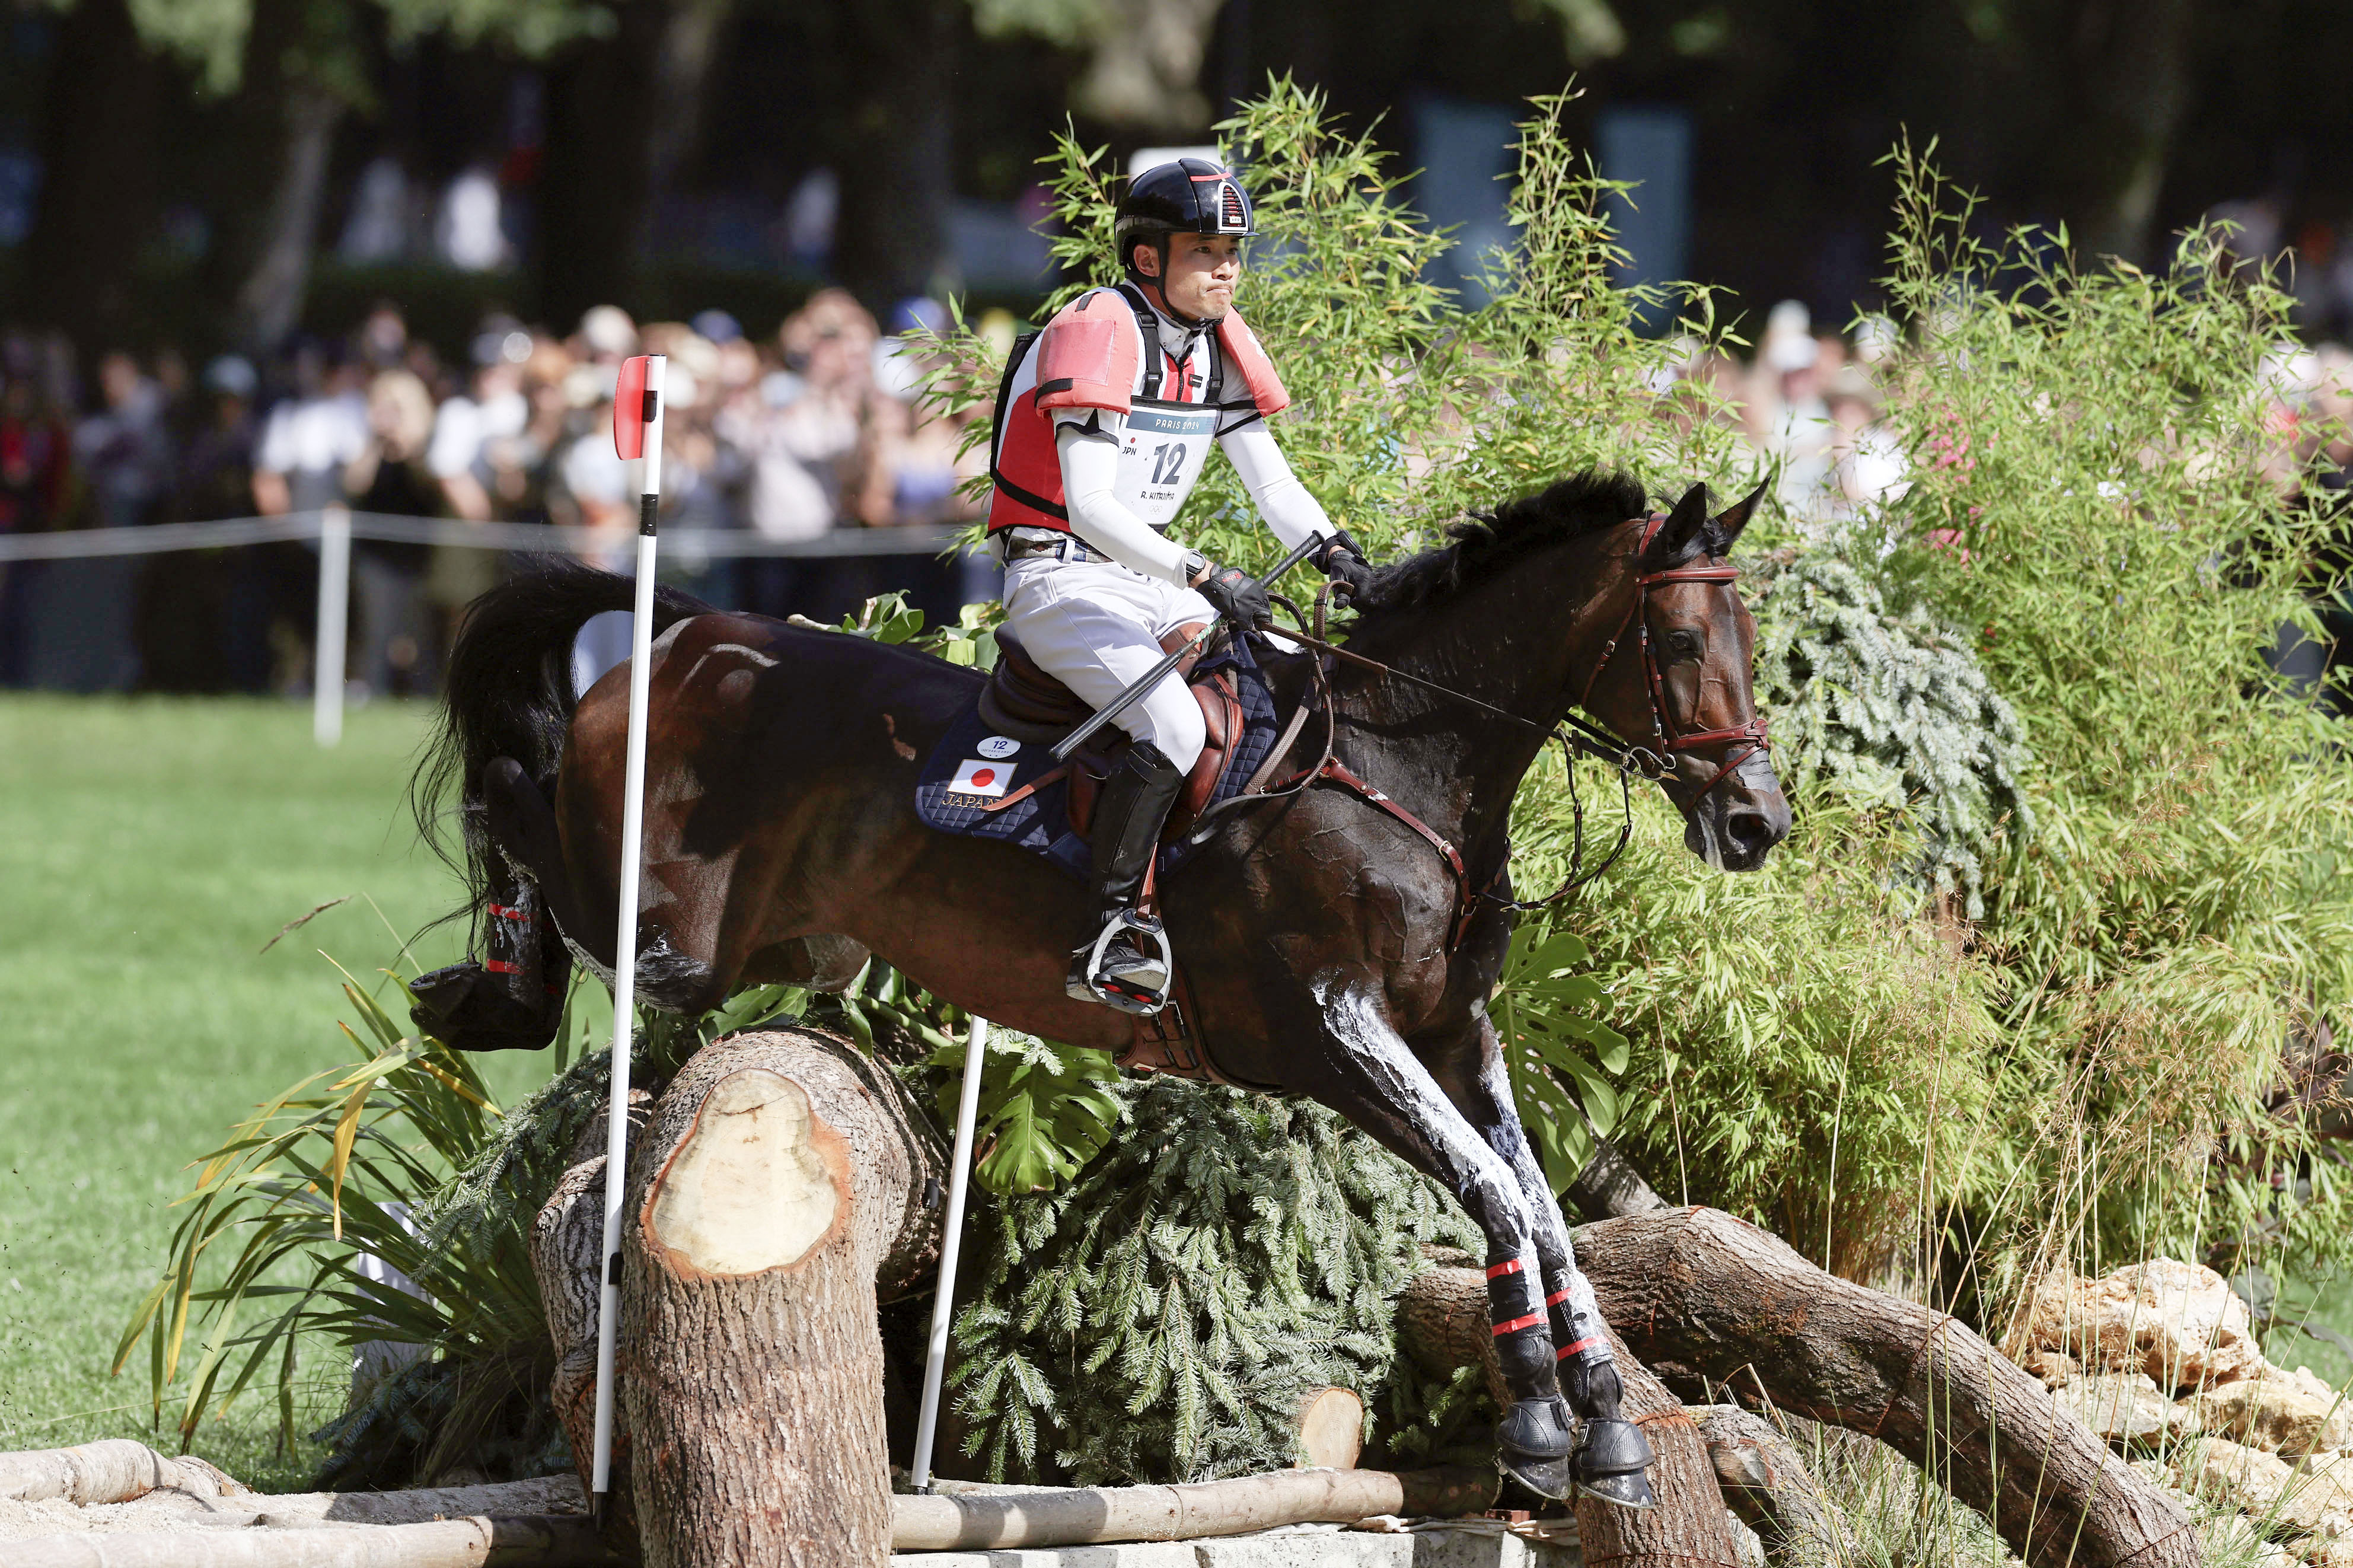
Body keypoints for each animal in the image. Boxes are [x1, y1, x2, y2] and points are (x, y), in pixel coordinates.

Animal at [414, 466, 1788, 1506]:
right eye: (1677, 641)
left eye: (1749, 642)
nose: (1755, 821)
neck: (1403, 764)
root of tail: (695, 633)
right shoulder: (1332, 1033)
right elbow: (1499, 1195)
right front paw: (1544, 1431)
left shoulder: (1457, 1034)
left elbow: (1542, 1206)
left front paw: (1604, 1422)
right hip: (668, 924)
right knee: (517, 790)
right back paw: (487, 982)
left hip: (774, 944)